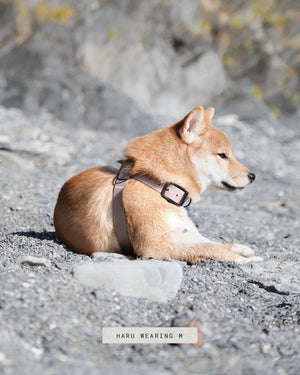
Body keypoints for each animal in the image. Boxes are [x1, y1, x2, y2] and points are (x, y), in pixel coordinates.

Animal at [54, 106, 262, 264]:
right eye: (223, 155)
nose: (252, 176)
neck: (158, 184)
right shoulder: (155, 245)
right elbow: (211, 249)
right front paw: (248, 260)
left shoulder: (182, 231)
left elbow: (212, 243)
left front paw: (241, 248)